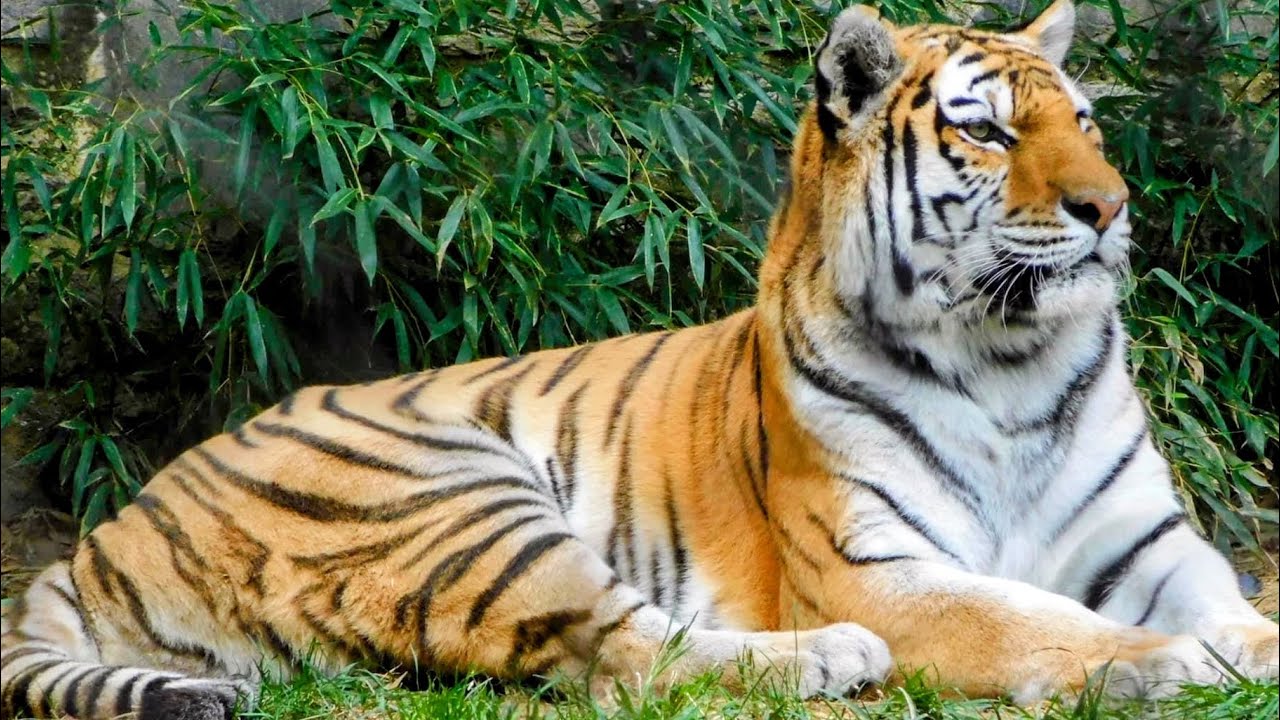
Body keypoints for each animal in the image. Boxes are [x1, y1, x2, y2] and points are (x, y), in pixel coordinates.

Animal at [4, 1, 1278, 718]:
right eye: (988, 131)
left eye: (1084, 122)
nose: (1110, 208)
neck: (1013, 366)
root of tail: (111, 529)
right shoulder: (874, 567)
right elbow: (1028, 622)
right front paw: (1169, 664)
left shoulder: (1147, 543)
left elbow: (1232, 608)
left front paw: (1236, 645)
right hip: (453, 497)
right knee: (622, 657)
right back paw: (830, 661)